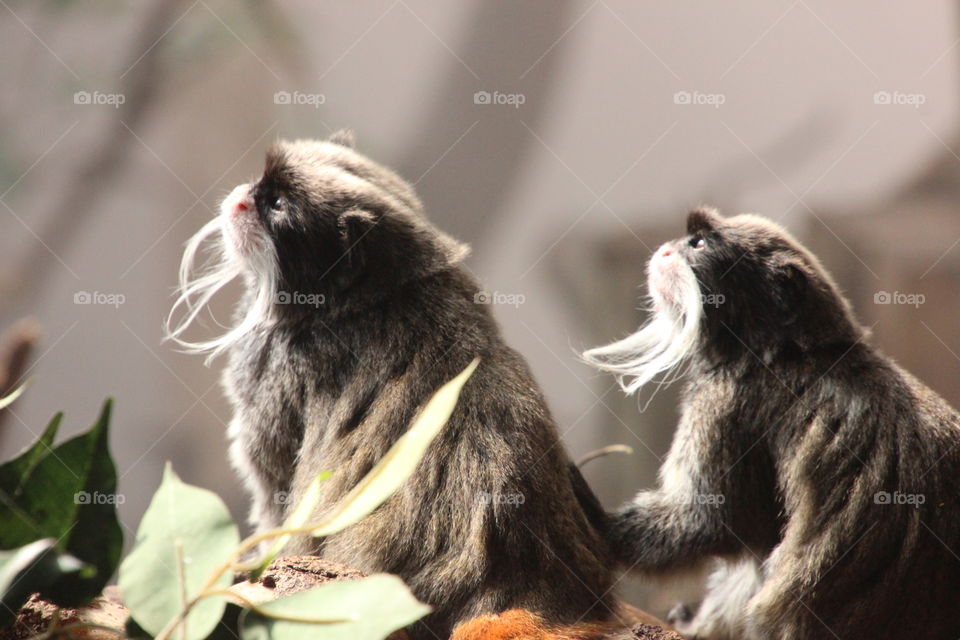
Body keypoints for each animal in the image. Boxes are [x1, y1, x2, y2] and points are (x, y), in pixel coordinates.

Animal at [166, 132, 626, 640]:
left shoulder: (278, 369)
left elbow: (275, 489)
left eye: (278, 204)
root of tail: (519, 587)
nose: (241, 199)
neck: (367, 296)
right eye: (259, 186)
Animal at [583, 207, 960, 640]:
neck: (786, 352)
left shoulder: (726, 403)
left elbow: (708, 522)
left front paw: (595, 519)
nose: (665, 250)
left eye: (697, 243)